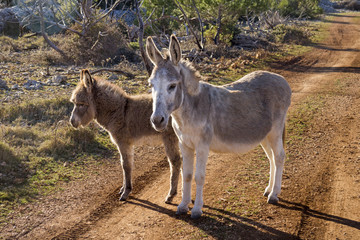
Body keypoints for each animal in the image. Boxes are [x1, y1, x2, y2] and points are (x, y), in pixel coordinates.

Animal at [70, 69, 181, 202]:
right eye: (75, 103)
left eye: (81, 104)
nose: (72, 122)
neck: (119, 111)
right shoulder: (126, 144)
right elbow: (126, 164)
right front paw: (123, 189)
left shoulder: (123, 143)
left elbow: (126, 165)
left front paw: (126, 192)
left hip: (169, 138)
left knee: (175, 162)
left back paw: (171, 194)